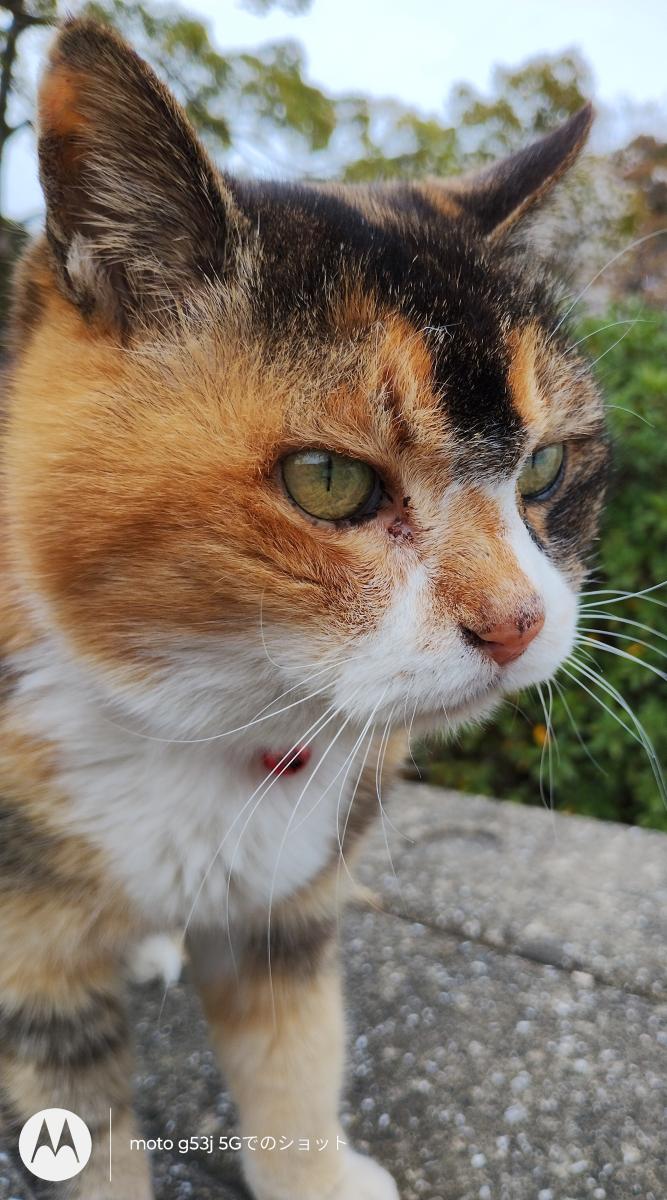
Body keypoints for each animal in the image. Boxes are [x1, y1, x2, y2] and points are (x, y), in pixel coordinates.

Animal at [0, 16, 609, 1200]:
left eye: (548, 467)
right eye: (328, 481)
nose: (517, 622)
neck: (202, 721)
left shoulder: (290, 907)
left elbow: (292, 1053)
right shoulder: (31, 970)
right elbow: (83, 1139)